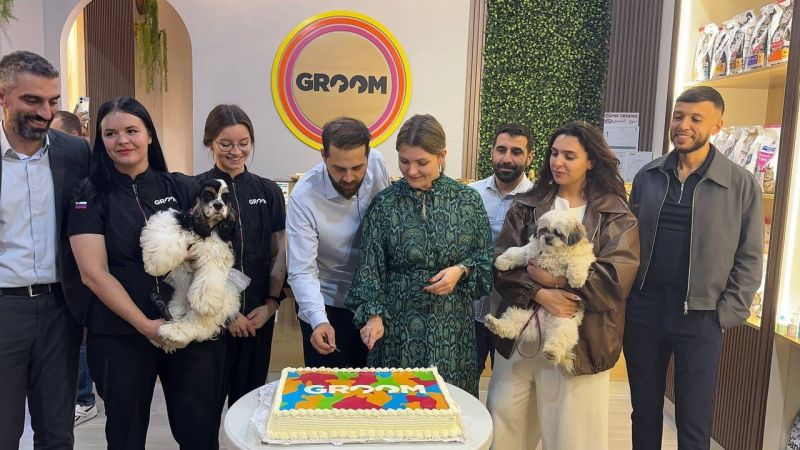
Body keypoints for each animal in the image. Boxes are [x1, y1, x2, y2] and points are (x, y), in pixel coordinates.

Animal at [140, 178, 244, 352]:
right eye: (208, 195)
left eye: (225, 197)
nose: (218, 205)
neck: (207, 227)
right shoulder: (180, 219)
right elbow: (169, 232)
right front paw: (155, 262)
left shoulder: (217, 251)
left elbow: (210, 274)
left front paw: (206, 301)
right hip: (178, 300)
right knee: (175, 313)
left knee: (196, 324)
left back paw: (173, 334)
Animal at [486, 209, 595, 373]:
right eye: (544, 230)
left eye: (558, 233)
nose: (548, 238)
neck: (553, 252)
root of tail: (544, 328)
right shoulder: (531, 252)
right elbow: (516, 253)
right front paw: (502, 262)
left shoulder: (581, 255)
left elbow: (577, 262)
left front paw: (576, 279)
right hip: (523, 317)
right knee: (511, 327)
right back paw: (494, 324)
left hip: (563, 324)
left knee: (559, 340)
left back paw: (552, 352)